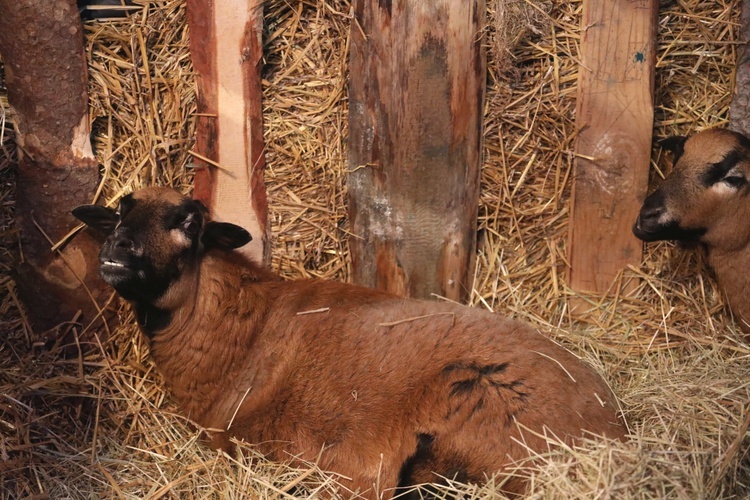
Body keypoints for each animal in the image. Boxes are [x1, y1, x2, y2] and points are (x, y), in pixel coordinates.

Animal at [75, 188, 628, 500]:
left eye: (188, 222)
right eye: (119, 213)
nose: (116, 250)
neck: (242, 328)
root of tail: (616, 428)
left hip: (478, 399)